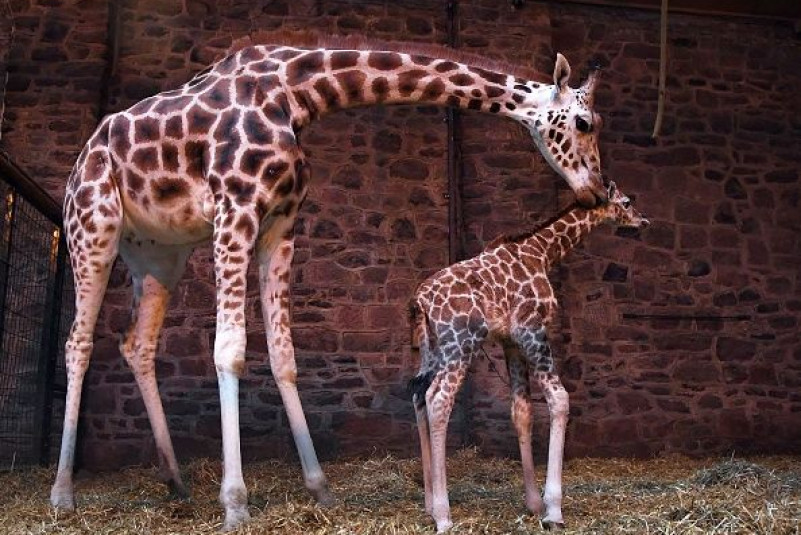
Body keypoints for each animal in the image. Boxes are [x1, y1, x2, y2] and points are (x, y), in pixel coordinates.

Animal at [50, 33, 609, 530]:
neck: (295, 94)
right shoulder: (236, 207)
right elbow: (229, 349)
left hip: (158, 252)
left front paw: (319, 488)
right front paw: (235, 504)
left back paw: (176, 481)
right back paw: (62, 494)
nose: (597, 191)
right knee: (78, 342)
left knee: (137, 344)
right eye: (584, 122)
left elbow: (283, 354)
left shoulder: (281, 220)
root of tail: (81, 158)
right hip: (92, 226)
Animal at [409, 181, 648, 533]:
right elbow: (559, 399)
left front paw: (534, 503)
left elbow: (521, 411)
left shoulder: (510, 341)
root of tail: (420, 302)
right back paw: (443, 515)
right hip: (460, 344)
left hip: (431, 348)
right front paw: (553, 509)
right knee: (438, 399)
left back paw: (428, 506)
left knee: (418, 394)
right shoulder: (531, 328)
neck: (542, 251)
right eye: (627, 202)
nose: (643, 220)